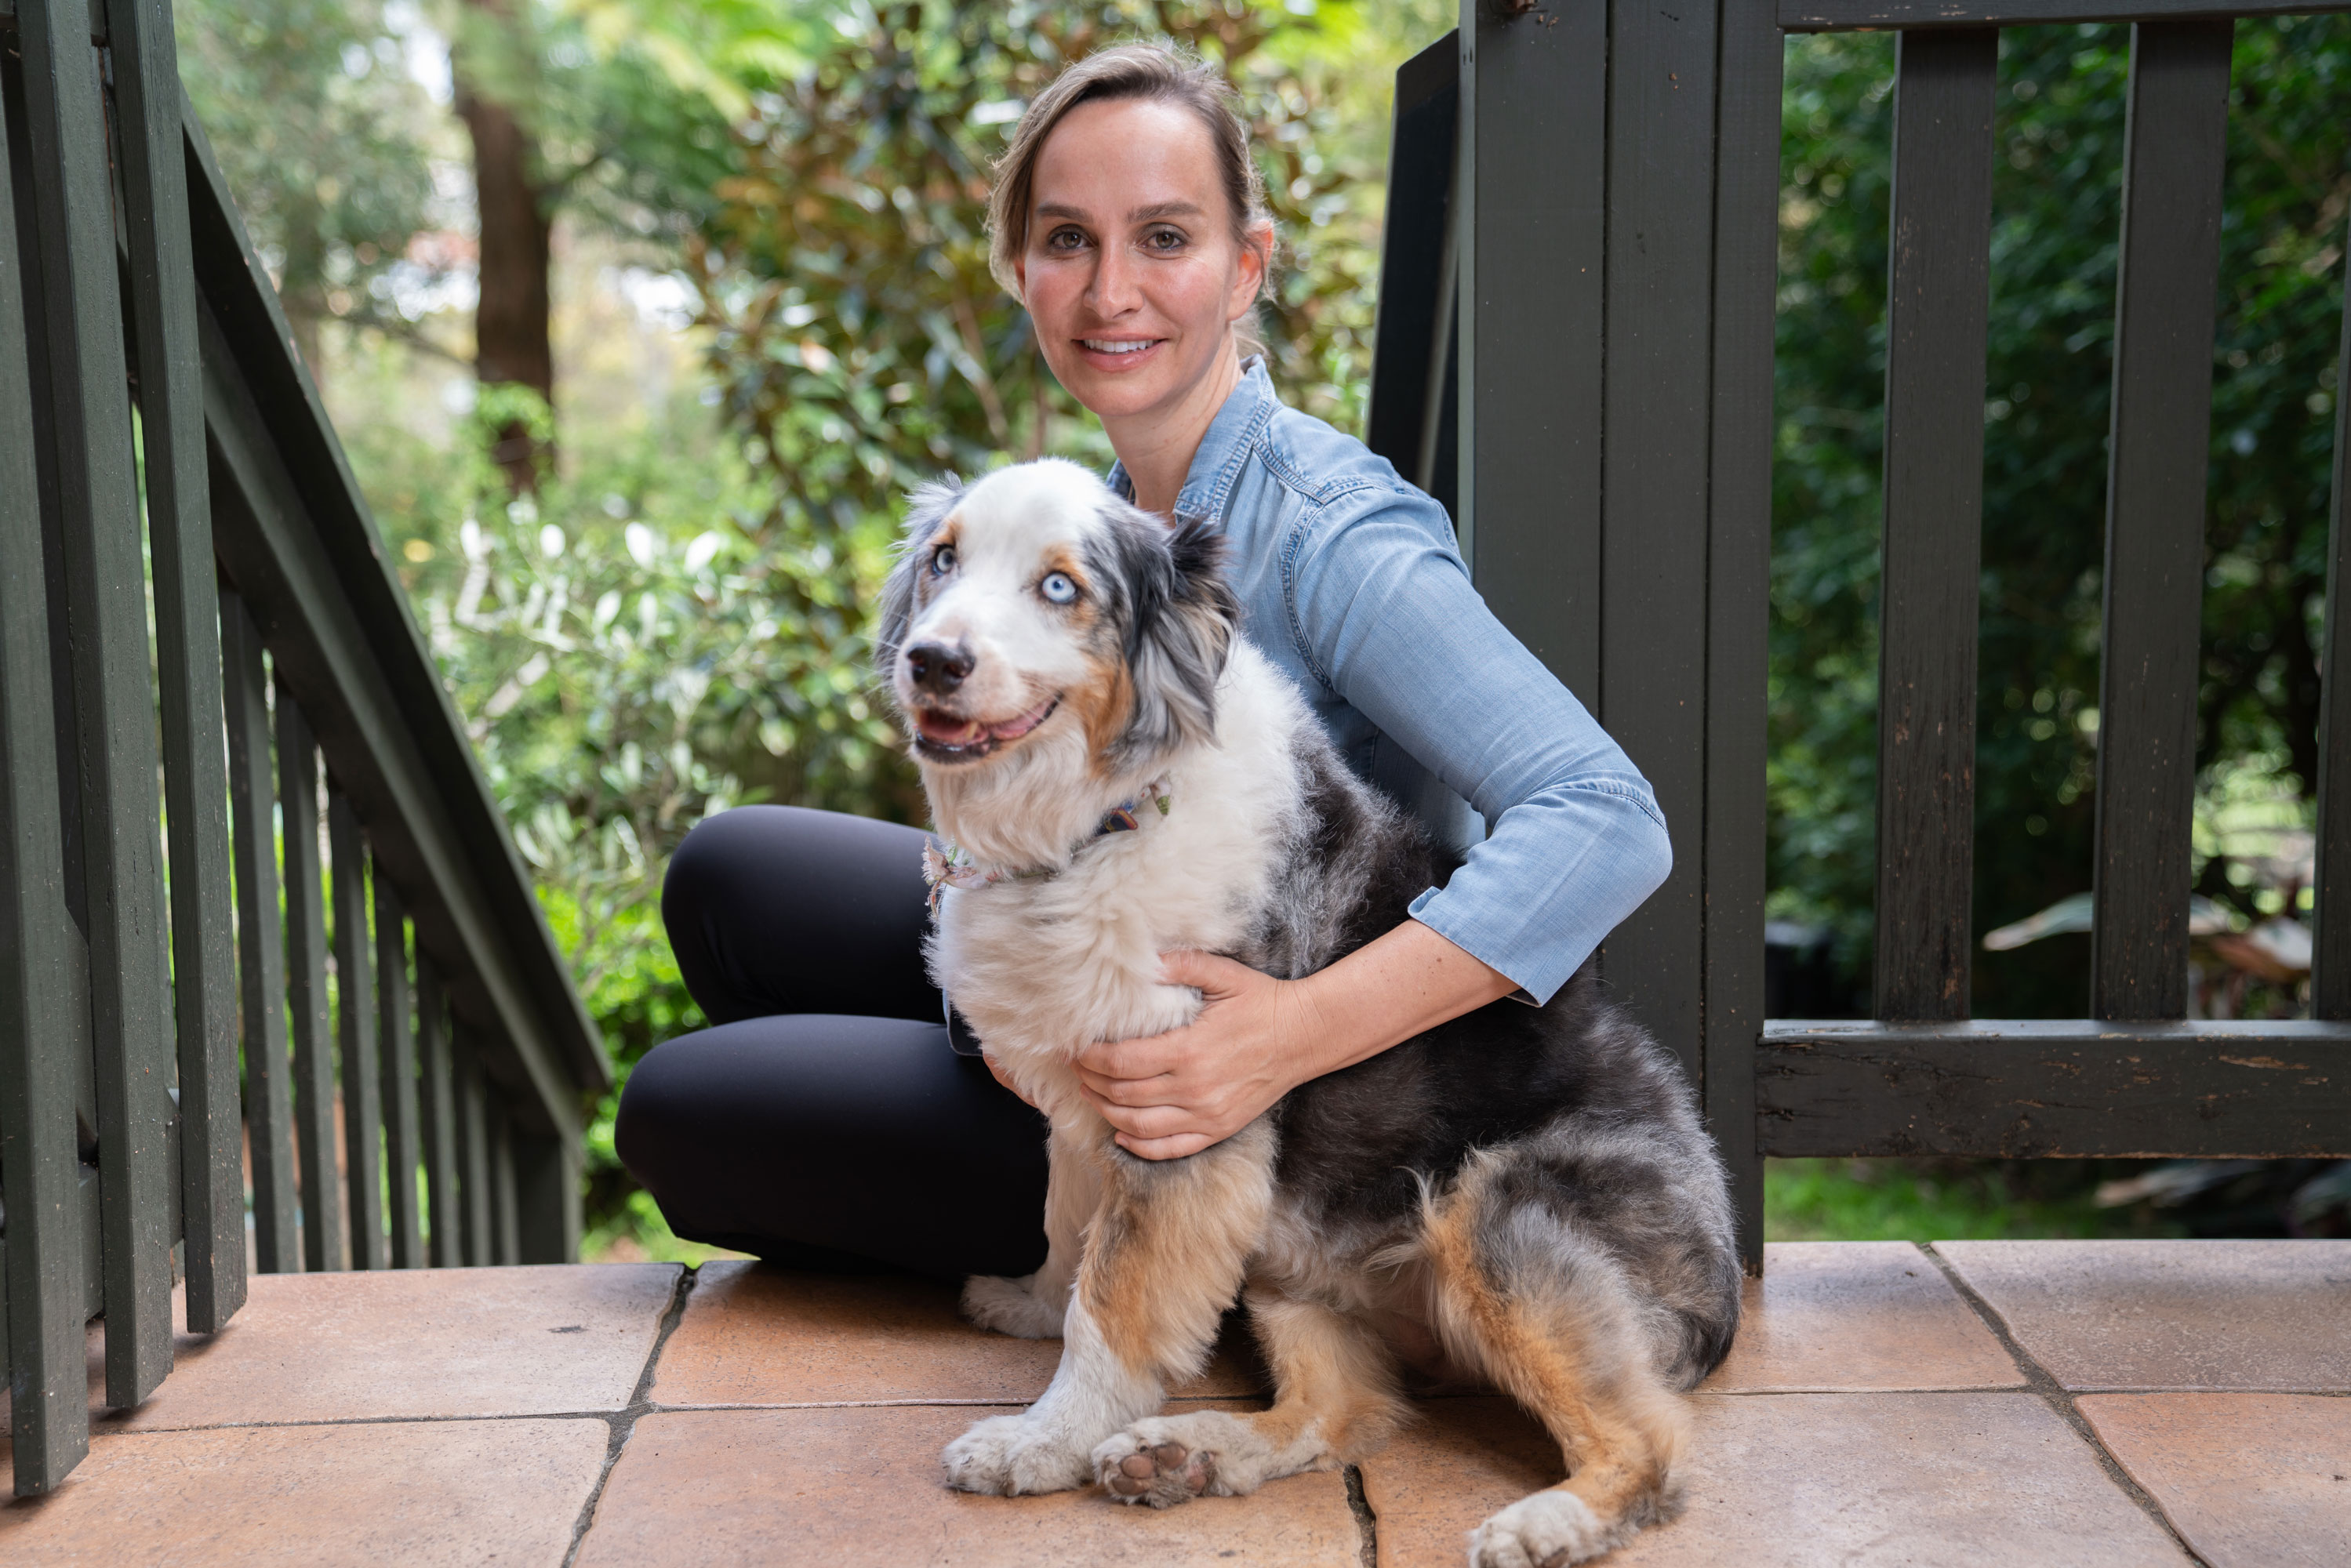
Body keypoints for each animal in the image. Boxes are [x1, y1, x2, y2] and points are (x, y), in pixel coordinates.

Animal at [874, 460, 1739, 1561]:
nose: (932, 660)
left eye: (1060, 586)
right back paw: (1188, 1454)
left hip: (1492, 1210)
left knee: (1650, 1441)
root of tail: (1721, 1280)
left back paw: (1546, 1519)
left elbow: (1112, 1299)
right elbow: (1065, 1221)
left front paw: (1039, 1439)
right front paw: (1027, 1300)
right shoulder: (1087, 1092)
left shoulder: (1185, 1118)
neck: (1103, 816)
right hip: (1293, 1265)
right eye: (943, 560)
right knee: (1346, 1408)